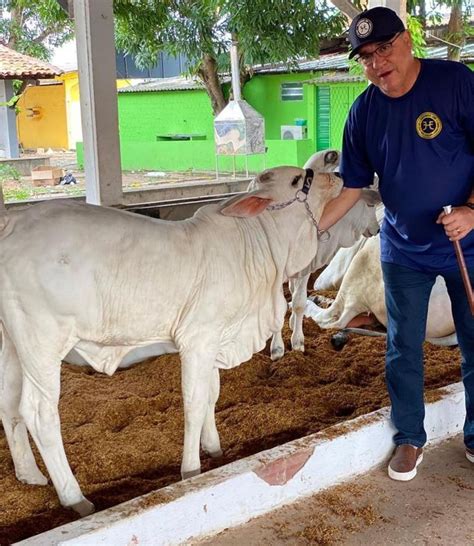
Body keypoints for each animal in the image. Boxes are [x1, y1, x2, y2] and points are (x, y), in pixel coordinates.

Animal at [0, 164, 340, 512]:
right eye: (298, 179)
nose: (338, 175)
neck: (259, 244)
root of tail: (12, 223)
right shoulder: (197, 339)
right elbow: (193, 402)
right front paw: (191, 470)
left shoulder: (215, 339)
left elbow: (211, 395)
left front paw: (215, 449)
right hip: (41, 341)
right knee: (39, 412)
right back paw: (76, 499)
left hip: (12, 343)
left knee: (8, 403)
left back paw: (30, 475)